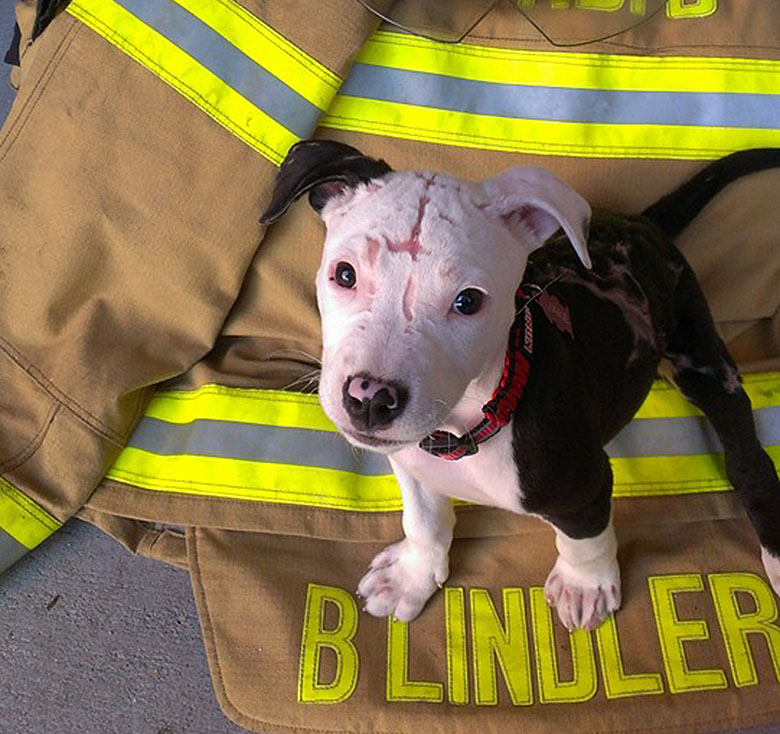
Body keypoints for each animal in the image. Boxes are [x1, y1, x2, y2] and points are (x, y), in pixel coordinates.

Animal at [262, 144, 780, 632]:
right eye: (344, 274)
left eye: (468, 302)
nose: (370, 398)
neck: (470, 423)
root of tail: (643, 223)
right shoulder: (411, 462)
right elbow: (425, 520)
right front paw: (412, 574)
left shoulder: (584, 486)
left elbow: (584, 539)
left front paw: (585, 584)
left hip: (702, 355)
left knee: (747, 458)